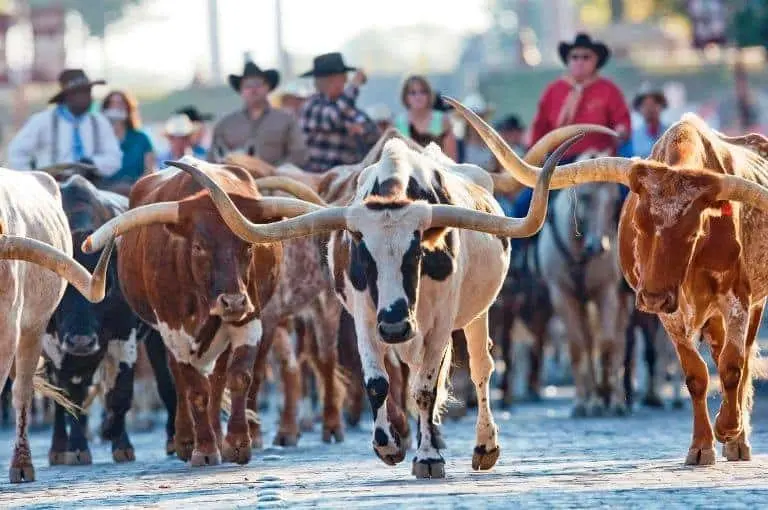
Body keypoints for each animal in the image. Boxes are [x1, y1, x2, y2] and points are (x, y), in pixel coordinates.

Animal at [42, 175, 177, 465]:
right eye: (59, 290)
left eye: (109, 282)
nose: (81, 341)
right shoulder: (52, 344)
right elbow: (67, 395)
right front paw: (77, 447)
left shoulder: (123, 335)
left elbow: (120, 393)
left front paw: (118, 441)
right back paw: (58, 448)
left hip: (154, 335)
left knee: (164, 379)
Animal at [149, 129, 583, 479]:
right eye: (361, 252)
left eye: (416, 253)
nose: (394, 324)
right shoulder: (363, 317)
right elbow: (378, 382)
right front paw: (388, 445)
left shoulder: (439, 322)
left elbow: (427, 388)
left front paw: (428, 458)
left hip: (474, 315)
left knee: (479, 369)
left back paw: (483, 446)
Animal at [447, 98, 768, 466]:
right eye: (637, 224)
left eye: (695, 231)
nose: (652, 298)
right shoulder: (667, 314)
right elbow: (695, 374)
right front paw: (701, 446)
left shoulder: (737, 299)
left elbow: (732, 366)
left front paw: (729, 429)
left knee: (741, 359)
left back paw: (738, 440)